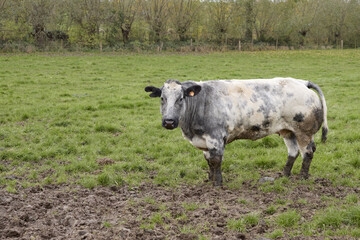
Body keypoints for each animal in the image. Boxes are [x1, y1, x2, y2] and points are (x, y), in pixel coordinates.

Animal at [145, 78, 328, 187]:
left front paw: (217, 184)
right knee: (293, 152)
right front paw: (209, 179)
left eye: (181, 98)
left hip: (303, 132)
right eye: (162, 98)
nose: (169, 121)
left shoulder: (216, 138)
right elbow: (209, 161)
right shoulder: (204, 141)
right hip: (288, 131)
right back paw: (284, 175)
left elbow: (216, 161)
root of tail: (302, 82)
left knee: (307, 152)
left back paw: (302, 178)